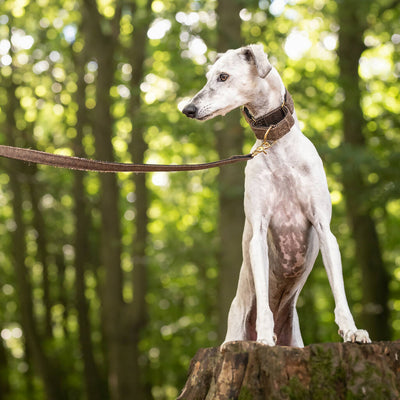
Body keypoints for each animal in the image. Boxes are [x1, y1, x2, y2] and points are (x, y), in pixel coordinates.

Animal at [183, 43, 370, 346]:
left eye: (223, 76)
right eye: (208, 76)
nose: (188, 109)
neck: (276, 144)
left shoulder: (324, 227)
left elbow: (339, 292)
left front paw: (352, 330)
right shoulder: (258, 231)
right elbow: (263, 302)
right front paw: (264, 337)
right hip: (234, 329)